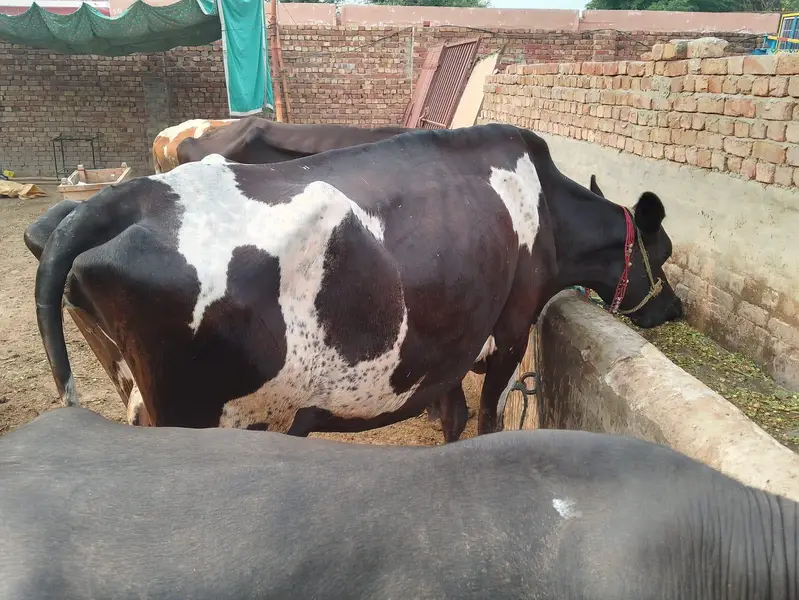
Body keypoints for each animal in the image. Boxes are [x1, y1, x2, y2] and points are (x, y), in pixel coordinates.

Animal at [32, 124, 682, 439]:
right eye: (666, 252)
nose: (674, 309)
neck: (546, 209)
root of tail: (123, 198)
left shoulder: (449, 341)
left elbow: (451, 413)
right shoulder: (509, 330)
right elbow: (482, 419)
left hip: (137, 392)